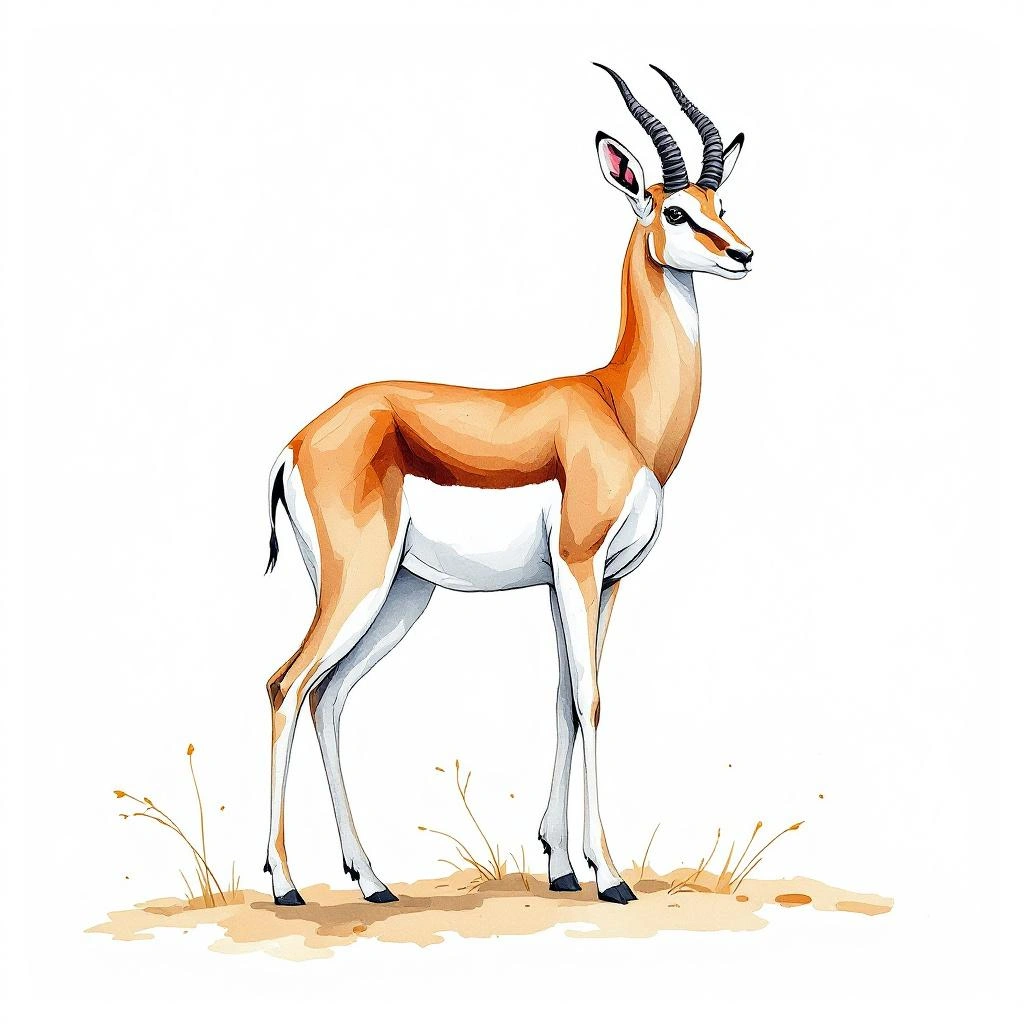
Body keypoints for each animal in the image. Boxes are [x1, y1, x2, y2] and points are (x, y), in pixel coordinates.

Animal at [263, 64, 753, 906]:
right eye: (678, 210)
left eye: (723, 204)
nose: (745, 253)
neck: (618, 405)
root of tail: (298, 442)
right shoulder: (580, 565)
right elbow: (591, 700)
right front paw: (611, 877)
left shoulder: (602, 580)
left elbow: (564, 699)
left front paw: (561, 866)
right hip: (358, 583)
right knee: (286, 686)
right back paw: (286, 884)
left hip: (401, 593)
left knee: (331, 695)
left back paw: (372, 880)